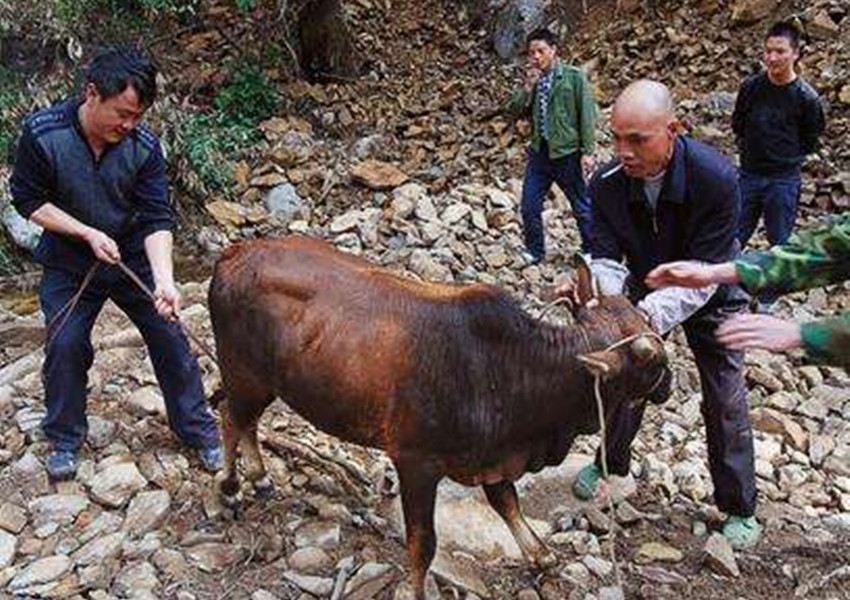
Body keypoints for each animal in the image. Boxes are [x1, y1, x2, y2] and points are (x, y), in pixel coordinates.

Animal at [207, 237, 668, 596]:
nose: (670, 384)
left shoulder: (494, 457)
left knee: (245, 422)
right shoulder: (416, 463)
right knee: (230, 417)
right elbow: (423, 543)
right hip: (245, 376)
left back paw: (259, 478)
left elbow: (507, 503)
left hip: (261, 384)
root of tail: (234, 253)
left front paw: (540, 555)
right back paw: (230, 488)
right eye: (654, 362)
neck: (513, 369)